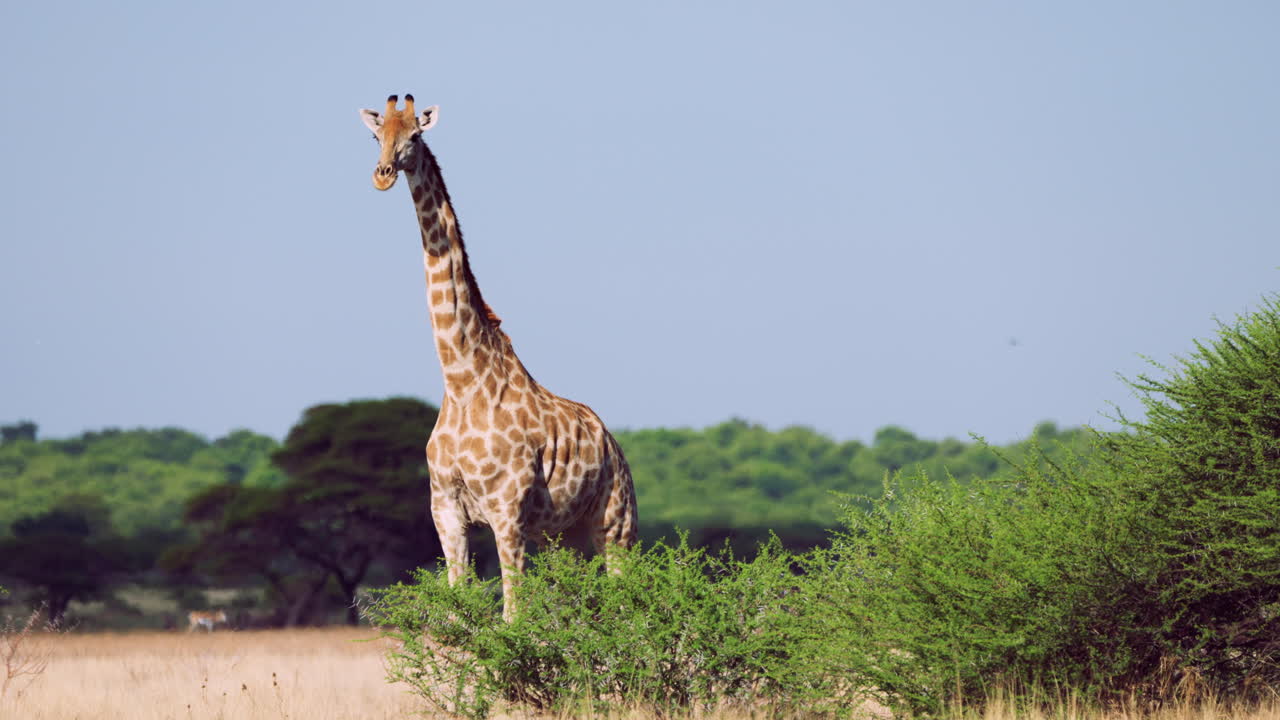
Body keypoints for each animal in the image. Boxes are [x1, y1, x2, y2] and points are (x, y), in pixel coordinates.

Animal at [360, 95, 638, 621]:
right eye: (375, 133)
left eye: (415, 136)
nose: (382, 175)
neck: (461, 379)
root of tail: (612, 443)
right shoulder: (446, 512)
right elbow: (455, 616)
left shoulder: (507, 513)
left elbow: (512, 617)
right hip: (562, 536)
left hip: (616, 523)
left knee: (621, 603)